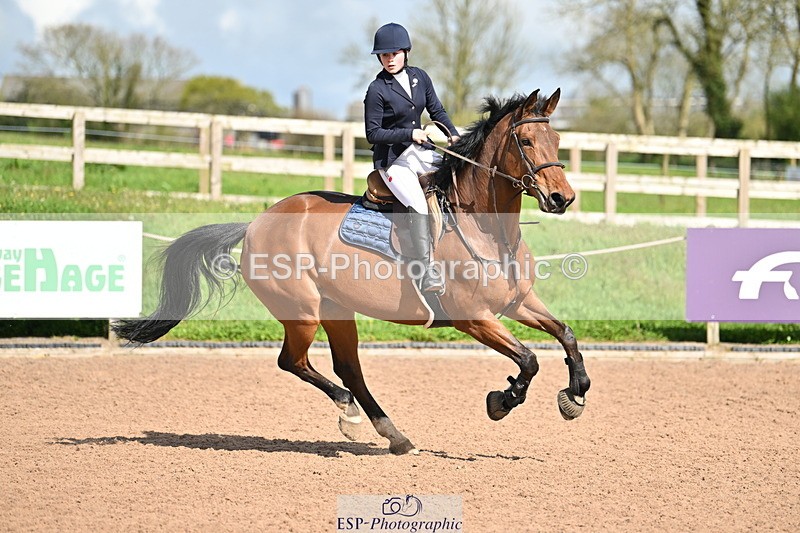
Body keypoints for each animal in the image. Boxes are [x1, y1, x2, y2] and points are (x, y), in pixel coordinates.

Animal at [113, 88, 592, 455]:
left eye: (556, 138)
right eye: (525, 141)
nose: (562, 198)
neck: (487, 227)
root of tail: (255, 223)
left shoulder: (518, 303)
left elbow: (566, 334)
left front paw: (577, 392)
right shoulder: (474, 318)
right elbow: (528, 360)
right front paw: (502, 401)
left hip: (337, 310)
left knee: (349, 368)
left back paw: (393, 434)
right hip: (303, 312)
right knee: (296, 362)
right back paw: (350, 414)